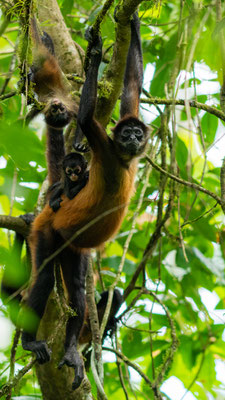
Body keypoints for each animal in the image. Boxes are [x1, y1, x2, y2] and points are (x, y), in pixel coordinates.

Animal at [21, 13, 148, 390]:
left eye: (137, 132)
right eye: (126, 134)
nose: (133, 138)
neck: (124, 162)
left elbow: (131, 88)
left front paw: (133, 23)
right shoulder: (105, 147)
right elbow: (85, 118)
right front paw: (94, 51)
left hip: (72, 246)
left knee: (77, 292)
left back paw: (71, 352)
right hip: (48, 230)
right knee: (44, 279)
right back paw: (30, 340)